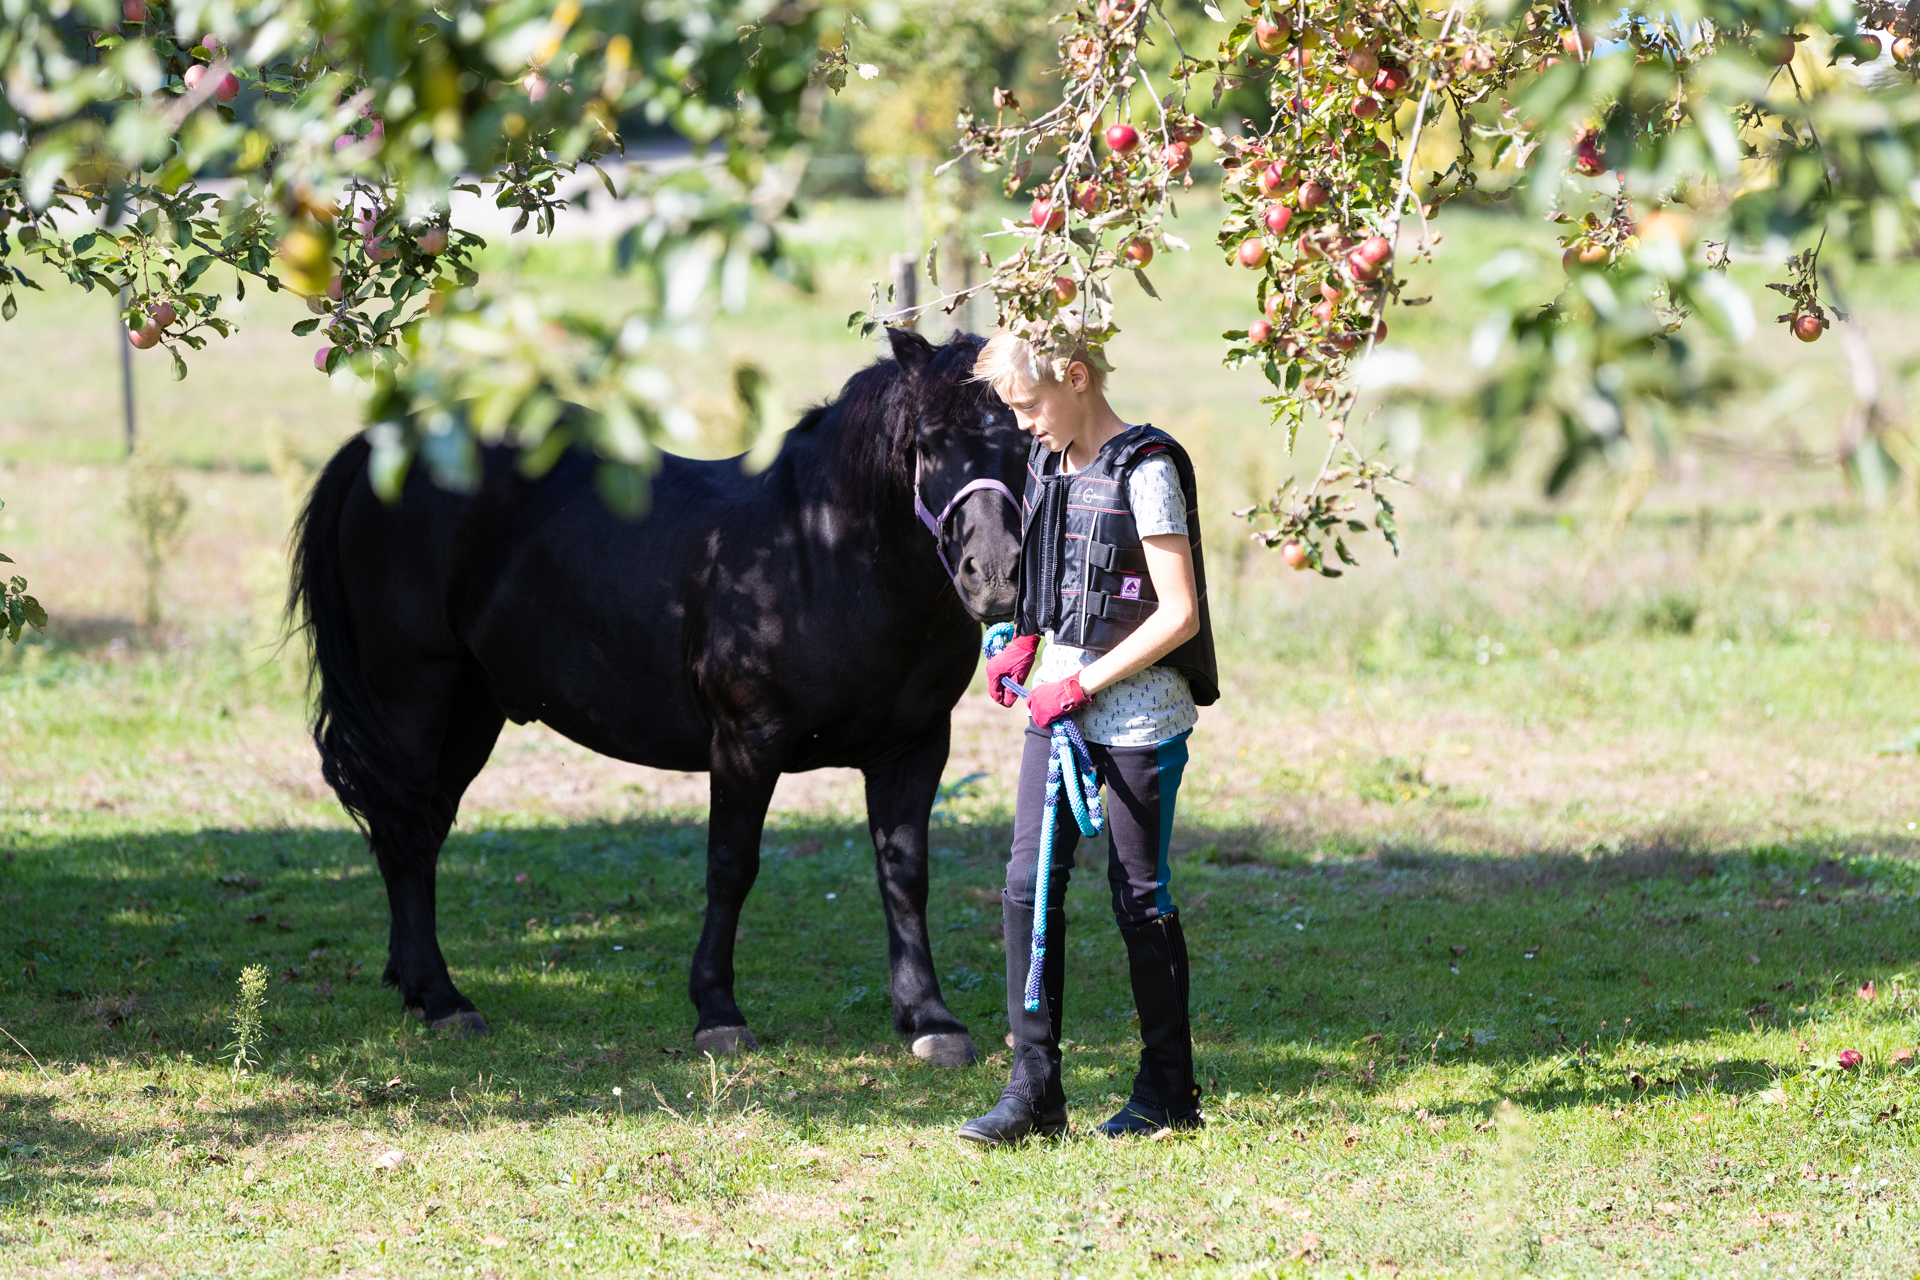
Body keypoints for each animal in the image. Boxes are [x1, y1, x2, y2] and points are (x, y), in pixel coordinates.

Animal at [286, 328, 1029, 1059]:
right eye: (928, 442)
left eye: (1026, 439)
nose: (993, 574)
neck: (824, 551)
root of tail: (384, 448)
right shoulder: (746, 744)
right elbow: (731, 867)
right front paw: (718, 1012)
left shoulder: (915, 748)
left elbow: (906, 875)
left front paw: (930, 1018)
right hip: (411, 694)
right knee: (406, 831)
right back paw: (443, 999)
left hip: (471, 710)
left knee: (420, 831)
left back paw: (413, 983)